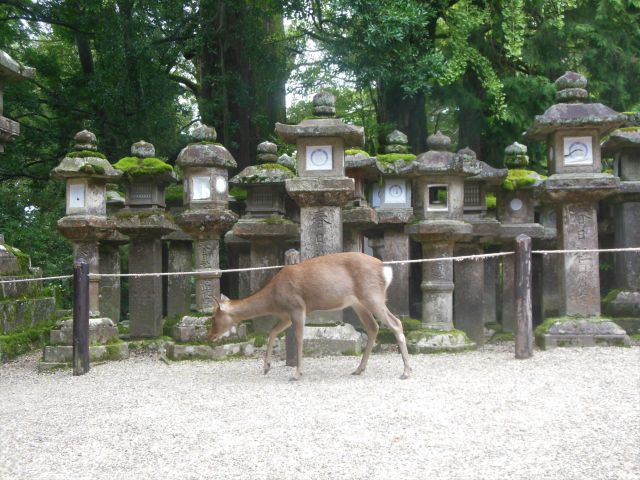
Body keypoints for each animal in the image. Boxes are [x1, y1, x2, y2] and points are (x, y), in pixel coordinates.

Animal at [209, 252, 412, 380]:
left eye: (213, 317)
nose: (211, 335)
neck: (274, 299)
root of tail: (385, 269)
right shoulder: (286, 315)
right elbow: (272, 332)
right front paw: (266, 367)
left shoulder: (297, 307)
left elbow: (299, 338)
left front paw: (296, 374)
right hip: (358, 303)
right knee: (373, 327)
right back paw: (358, 369)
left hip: (372, 295)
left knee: (396, 323)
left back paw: (406, 371)